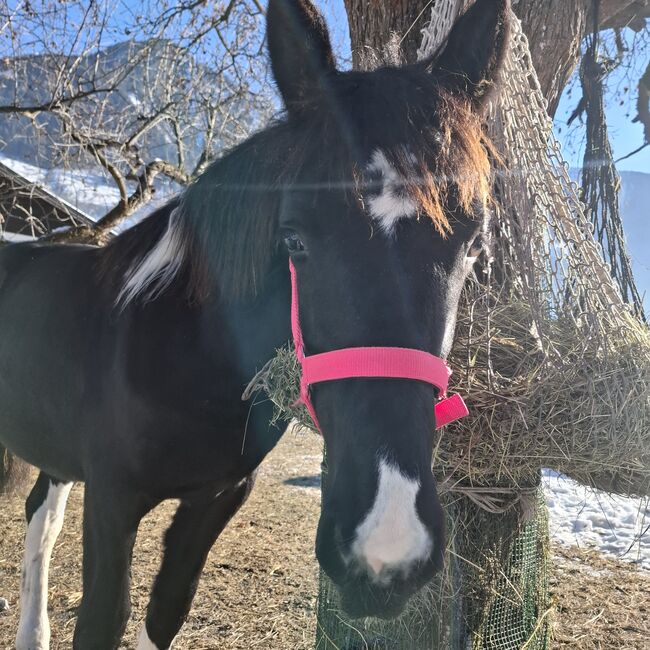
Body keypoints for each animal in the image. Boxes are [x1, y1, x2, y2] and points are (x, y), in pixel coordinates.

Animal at [0, 2, 506, 644]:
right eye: (294, 238)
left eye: (473, 242)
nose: (386, 548)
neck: (186, 360)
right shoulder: (113, 500)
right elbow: (101, 620)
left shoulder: (218, 497)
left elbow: (166, 609)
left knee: (41, 512)